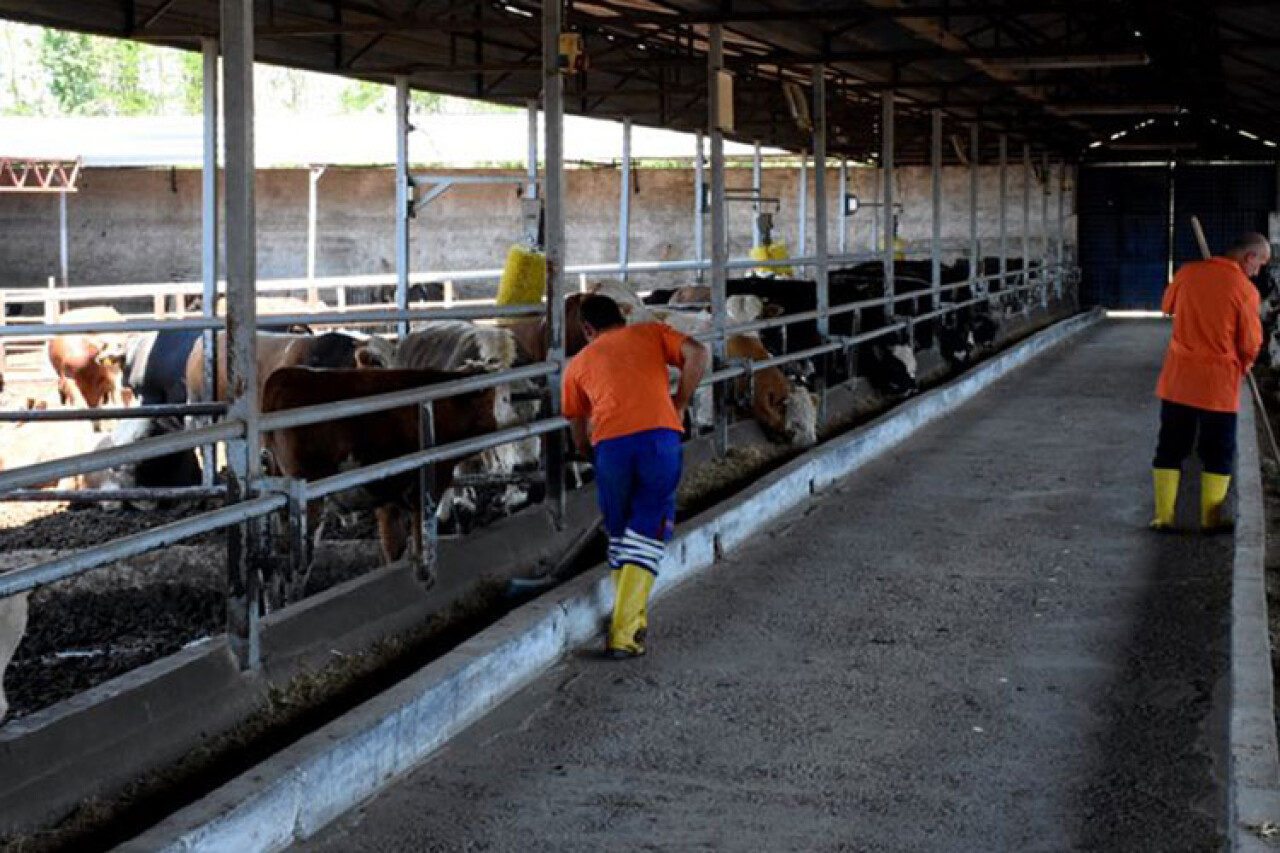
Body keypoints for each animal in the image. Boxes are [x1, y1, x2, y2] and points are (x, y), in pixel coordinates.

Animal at [261, 366, 499, 584]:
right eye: (495, 399)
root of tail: (282, 376)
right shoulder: (431, 479)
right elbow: (422, 532)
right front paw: (426, 573)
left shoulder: (389, 494)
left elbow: (394, 544)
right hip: (310, 504)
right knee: (297, 567)